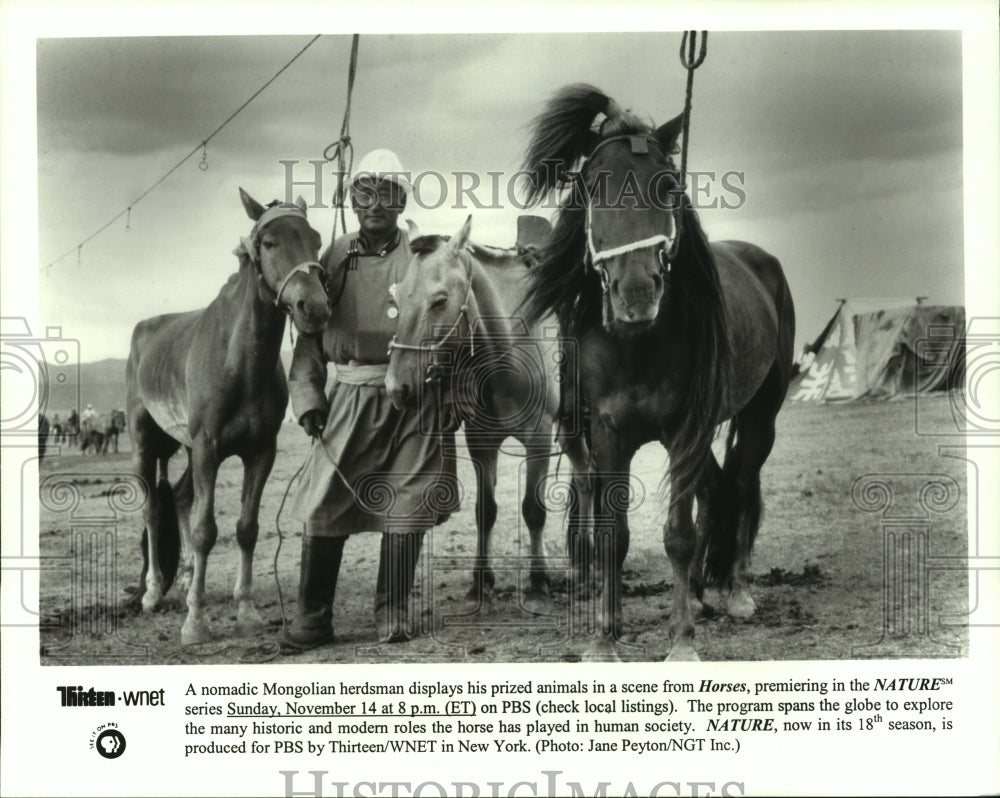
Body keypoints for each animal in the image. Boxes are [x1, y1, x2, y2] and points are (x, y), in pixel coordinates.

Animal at [127, 189, 332, 644]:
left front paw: (247, 610)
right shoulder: (208, 449)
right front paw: (195, 621)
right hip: (145, 443)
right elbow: (206, 531)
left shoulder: (260, 452)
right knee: (153, 510)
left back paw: (188, 578)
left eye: (315, 239)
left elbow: (245, 528)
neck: (239, 361)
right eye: (270, 243)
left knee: (180, 498)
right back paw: (153, 592)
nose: (315, 307)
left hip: (186, 448)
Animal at [386, 217, 592, 608]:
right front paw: (482, 579)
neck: (506, 351)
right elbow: (486, 510)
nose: (395, 387)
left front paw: (538, 578)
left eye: (439, 301)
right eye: (397, 299)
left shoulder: (539, 438)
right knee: (585, 474)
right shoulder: (480, 440)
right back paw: (582, 559)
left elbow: (533, 509)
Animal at [520, 86, 792, 664]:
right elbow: (614, 536)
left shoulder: (686, 430)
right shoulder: (607, 436)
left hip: (760, 417)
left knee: (741, 485)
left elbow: (678, 536)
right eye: (593, 187)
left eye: (667, 185)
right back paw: (698, 595)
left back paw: (734, 593)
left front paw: (682, 642)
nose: (638, 292)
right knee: (715, 490)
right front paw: (605, 639)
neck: (637, 346)